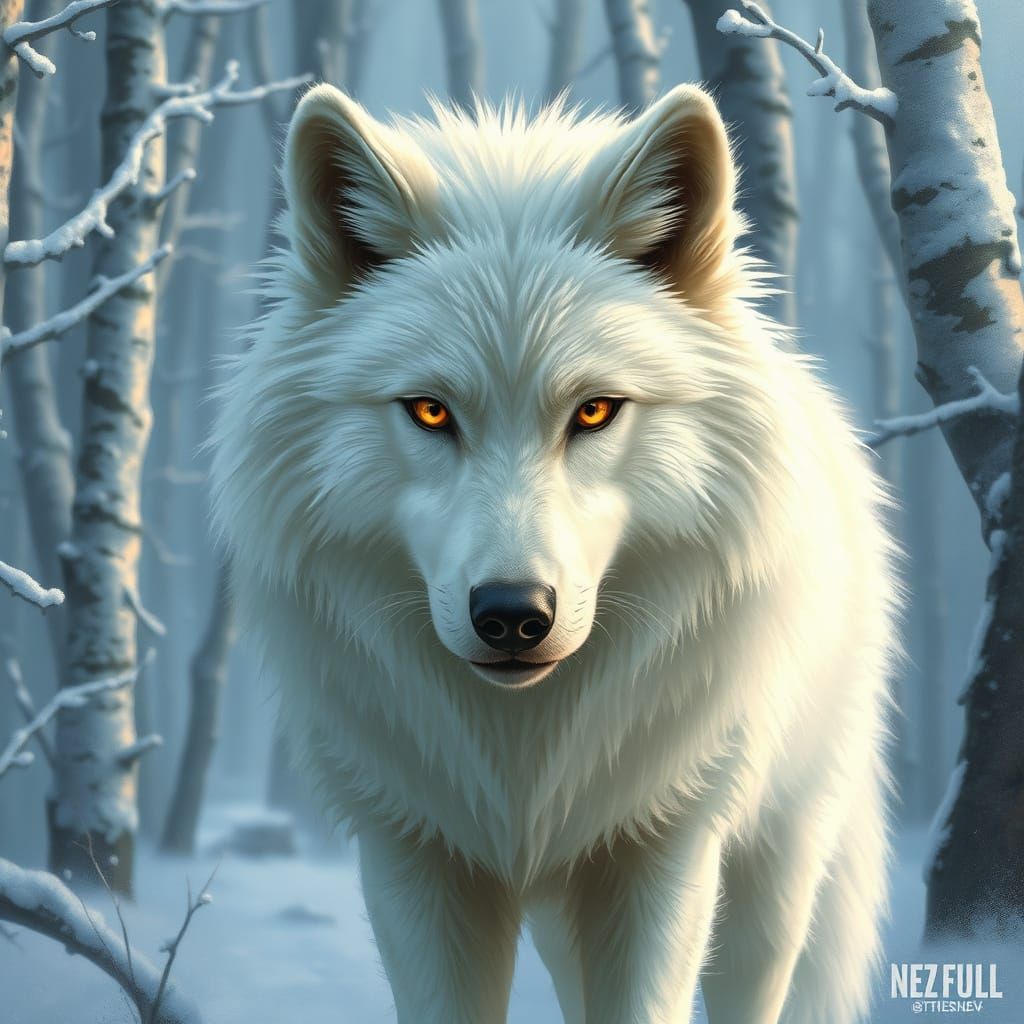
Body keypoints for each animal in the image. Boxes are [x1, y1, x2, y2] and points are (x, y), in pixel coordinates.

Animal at [211, 82, 899, 1024]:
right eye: (430, 412)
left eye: (595, 411)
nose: (511, 616)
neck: (524, 755)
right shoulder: (414, 853)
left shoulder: (663, 848)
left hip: (772, 870)